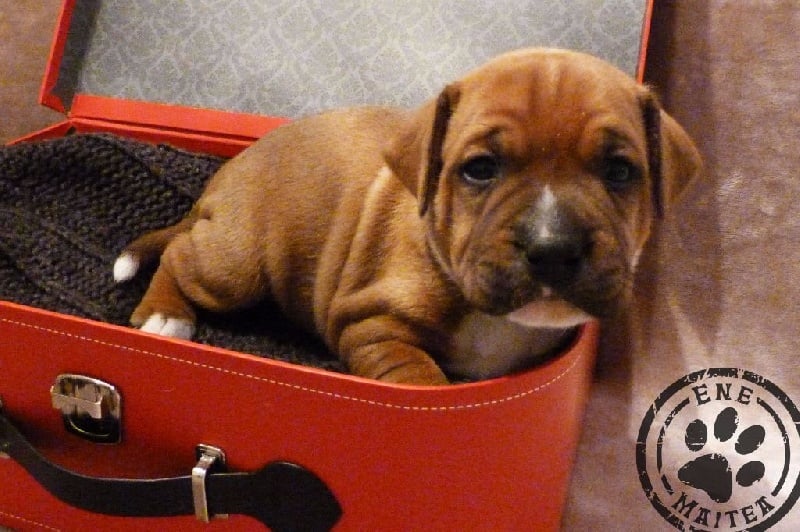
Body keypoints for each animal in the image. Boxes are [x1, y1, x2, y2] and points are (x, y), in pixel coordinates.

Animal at [113, 48, 701, 385]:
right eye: (480, 169)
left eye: (620, 171)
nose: (553, 248)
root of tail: (223, 179)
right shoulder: (373, 327)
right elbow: (423, 382)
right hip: (236, 266)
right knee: (178, 255)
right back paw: (165, 315)